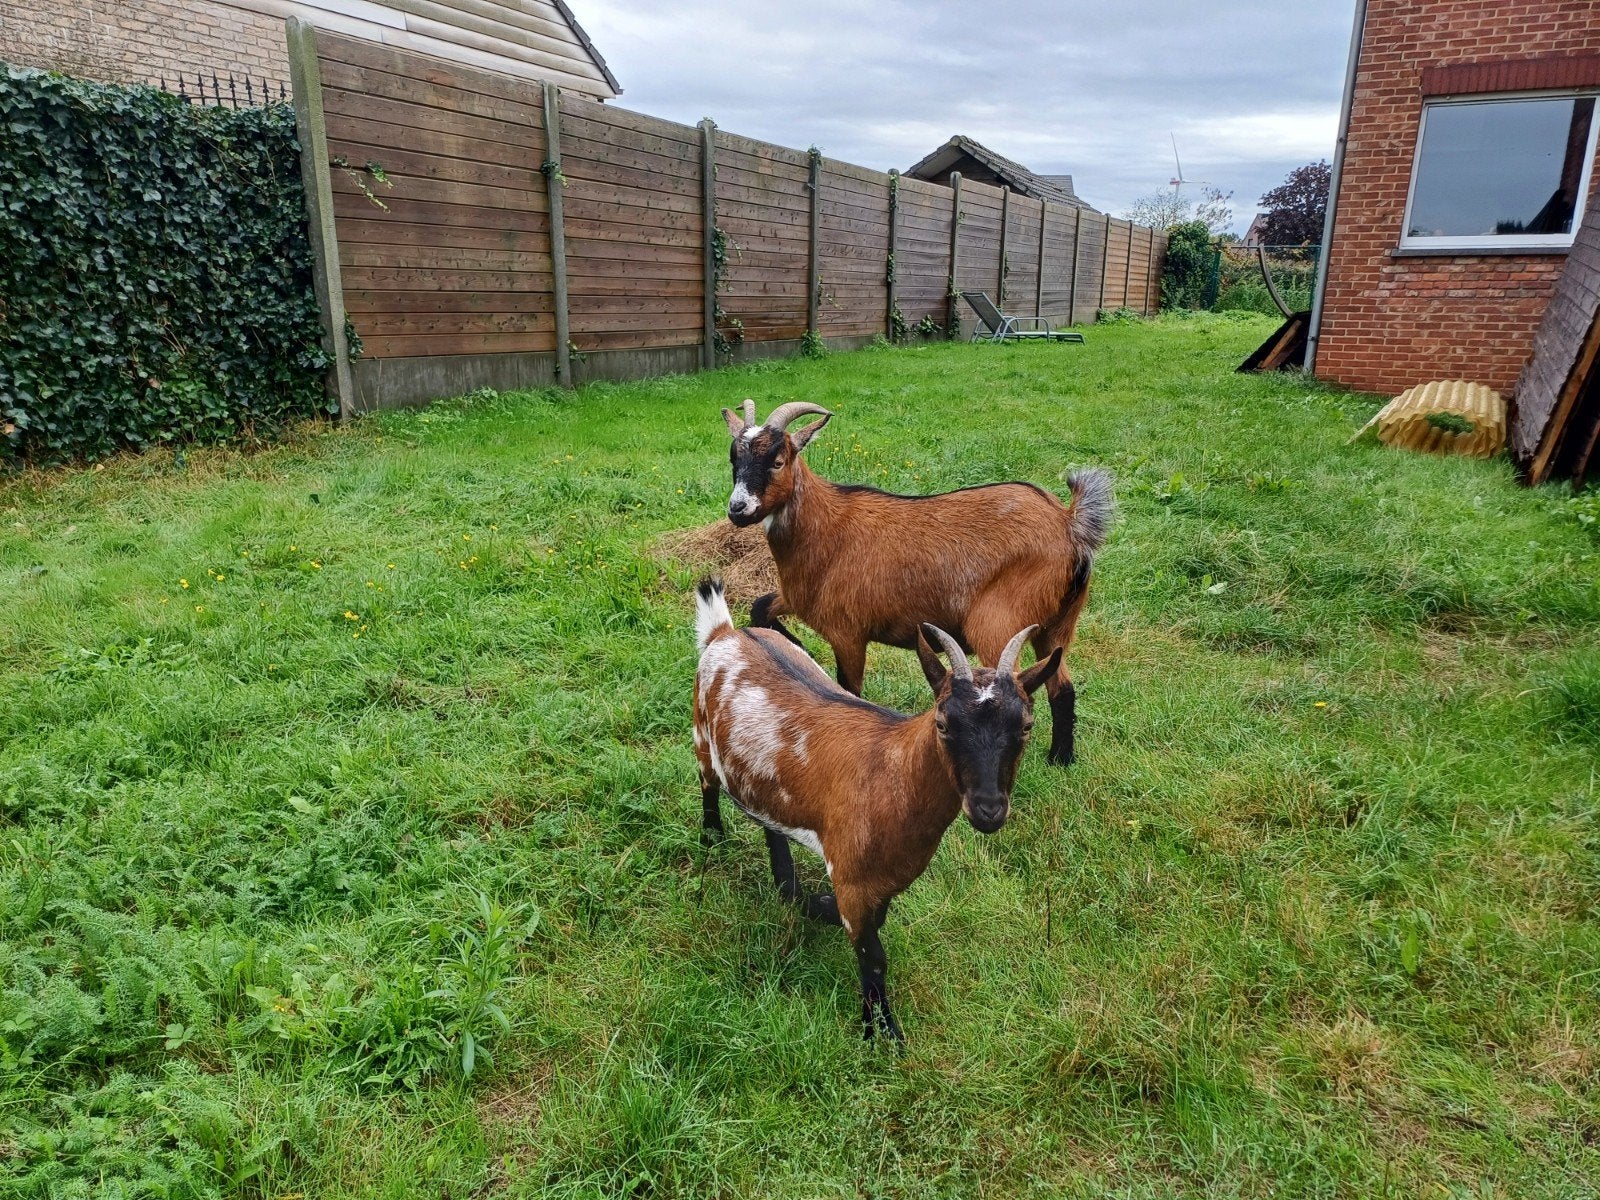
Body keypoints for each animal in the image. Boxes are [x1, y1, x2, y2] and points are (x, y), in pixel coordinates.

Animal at [693, 577, 1059, 1041]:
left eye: (1027, 726)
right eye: (942, 723)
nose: (989, 809)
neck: (890, 774)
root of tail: (726, 632)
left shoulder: (881, 882)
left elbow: (873, 925)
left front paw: (814, 905)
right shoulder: (850, 876)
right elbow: (874, 957)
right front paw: (881, 1032)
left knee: (769, 822)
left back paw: (787, 885)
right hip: (702, 737)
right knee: (707, 787)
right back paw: (712, 838)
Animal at [720, 399, 1112, 766]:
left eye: (778, 461)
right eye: (733, 459)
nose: (738, 509)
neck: (824, 529)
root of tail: (1069, 524)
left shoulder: (848, 632)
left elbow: (849, 690)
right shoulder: (795, 597)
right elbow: (760, 607)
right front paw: (799, 647)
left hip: (998, 623)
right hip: (1058, 625)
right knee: (1061, 686)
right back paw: (1060, 760)